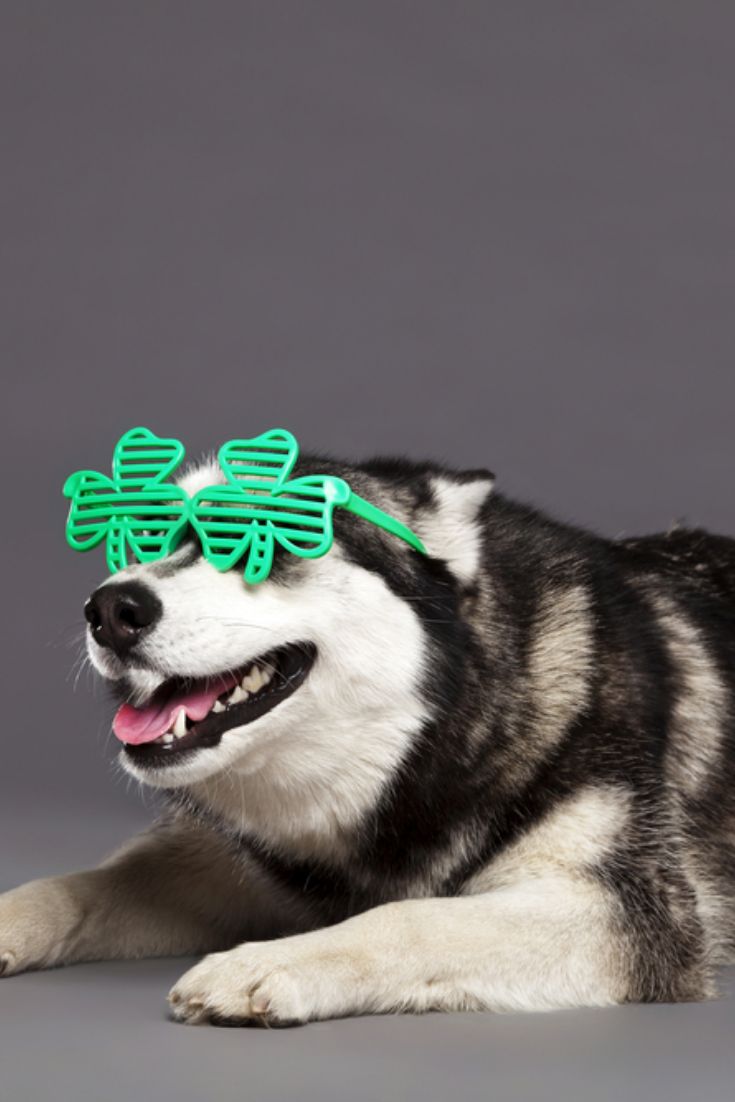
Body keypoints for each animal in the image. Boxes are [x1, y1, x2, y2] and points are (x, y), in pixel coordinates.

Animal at [1, 447, 735, 1022]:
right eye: (146, 535)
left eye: (269, 536)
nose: (110, 609)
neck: (416, 748)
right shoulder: (226, 865)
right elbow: (77, 886)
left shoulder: (627, 913)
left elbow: (414, 917)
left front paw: (263, 963)